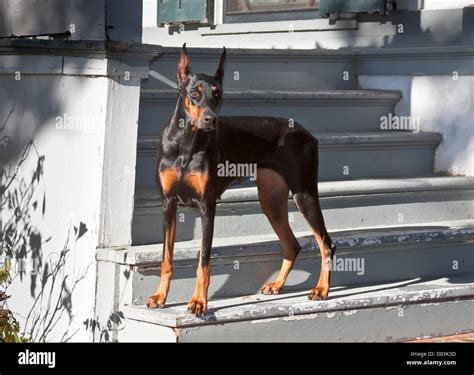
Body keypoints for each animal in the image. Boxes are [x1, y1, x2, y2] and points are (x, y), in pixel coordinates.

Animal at [146, 43, 336, 318]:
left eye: (218, 94)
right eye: (194, 92)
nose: (211, 120)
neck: (186, 142)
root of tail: (308, 134)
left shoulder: (207, 206)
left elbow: (203, 261)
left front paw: (199, 301)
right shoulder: (168, 204)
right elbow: (166, 258)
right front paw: (160, 296)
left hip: (305, 194)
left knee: (326, 244)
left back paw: (321, 289)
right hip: (271, 200)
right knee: (292, 245)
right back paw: (277, 284)